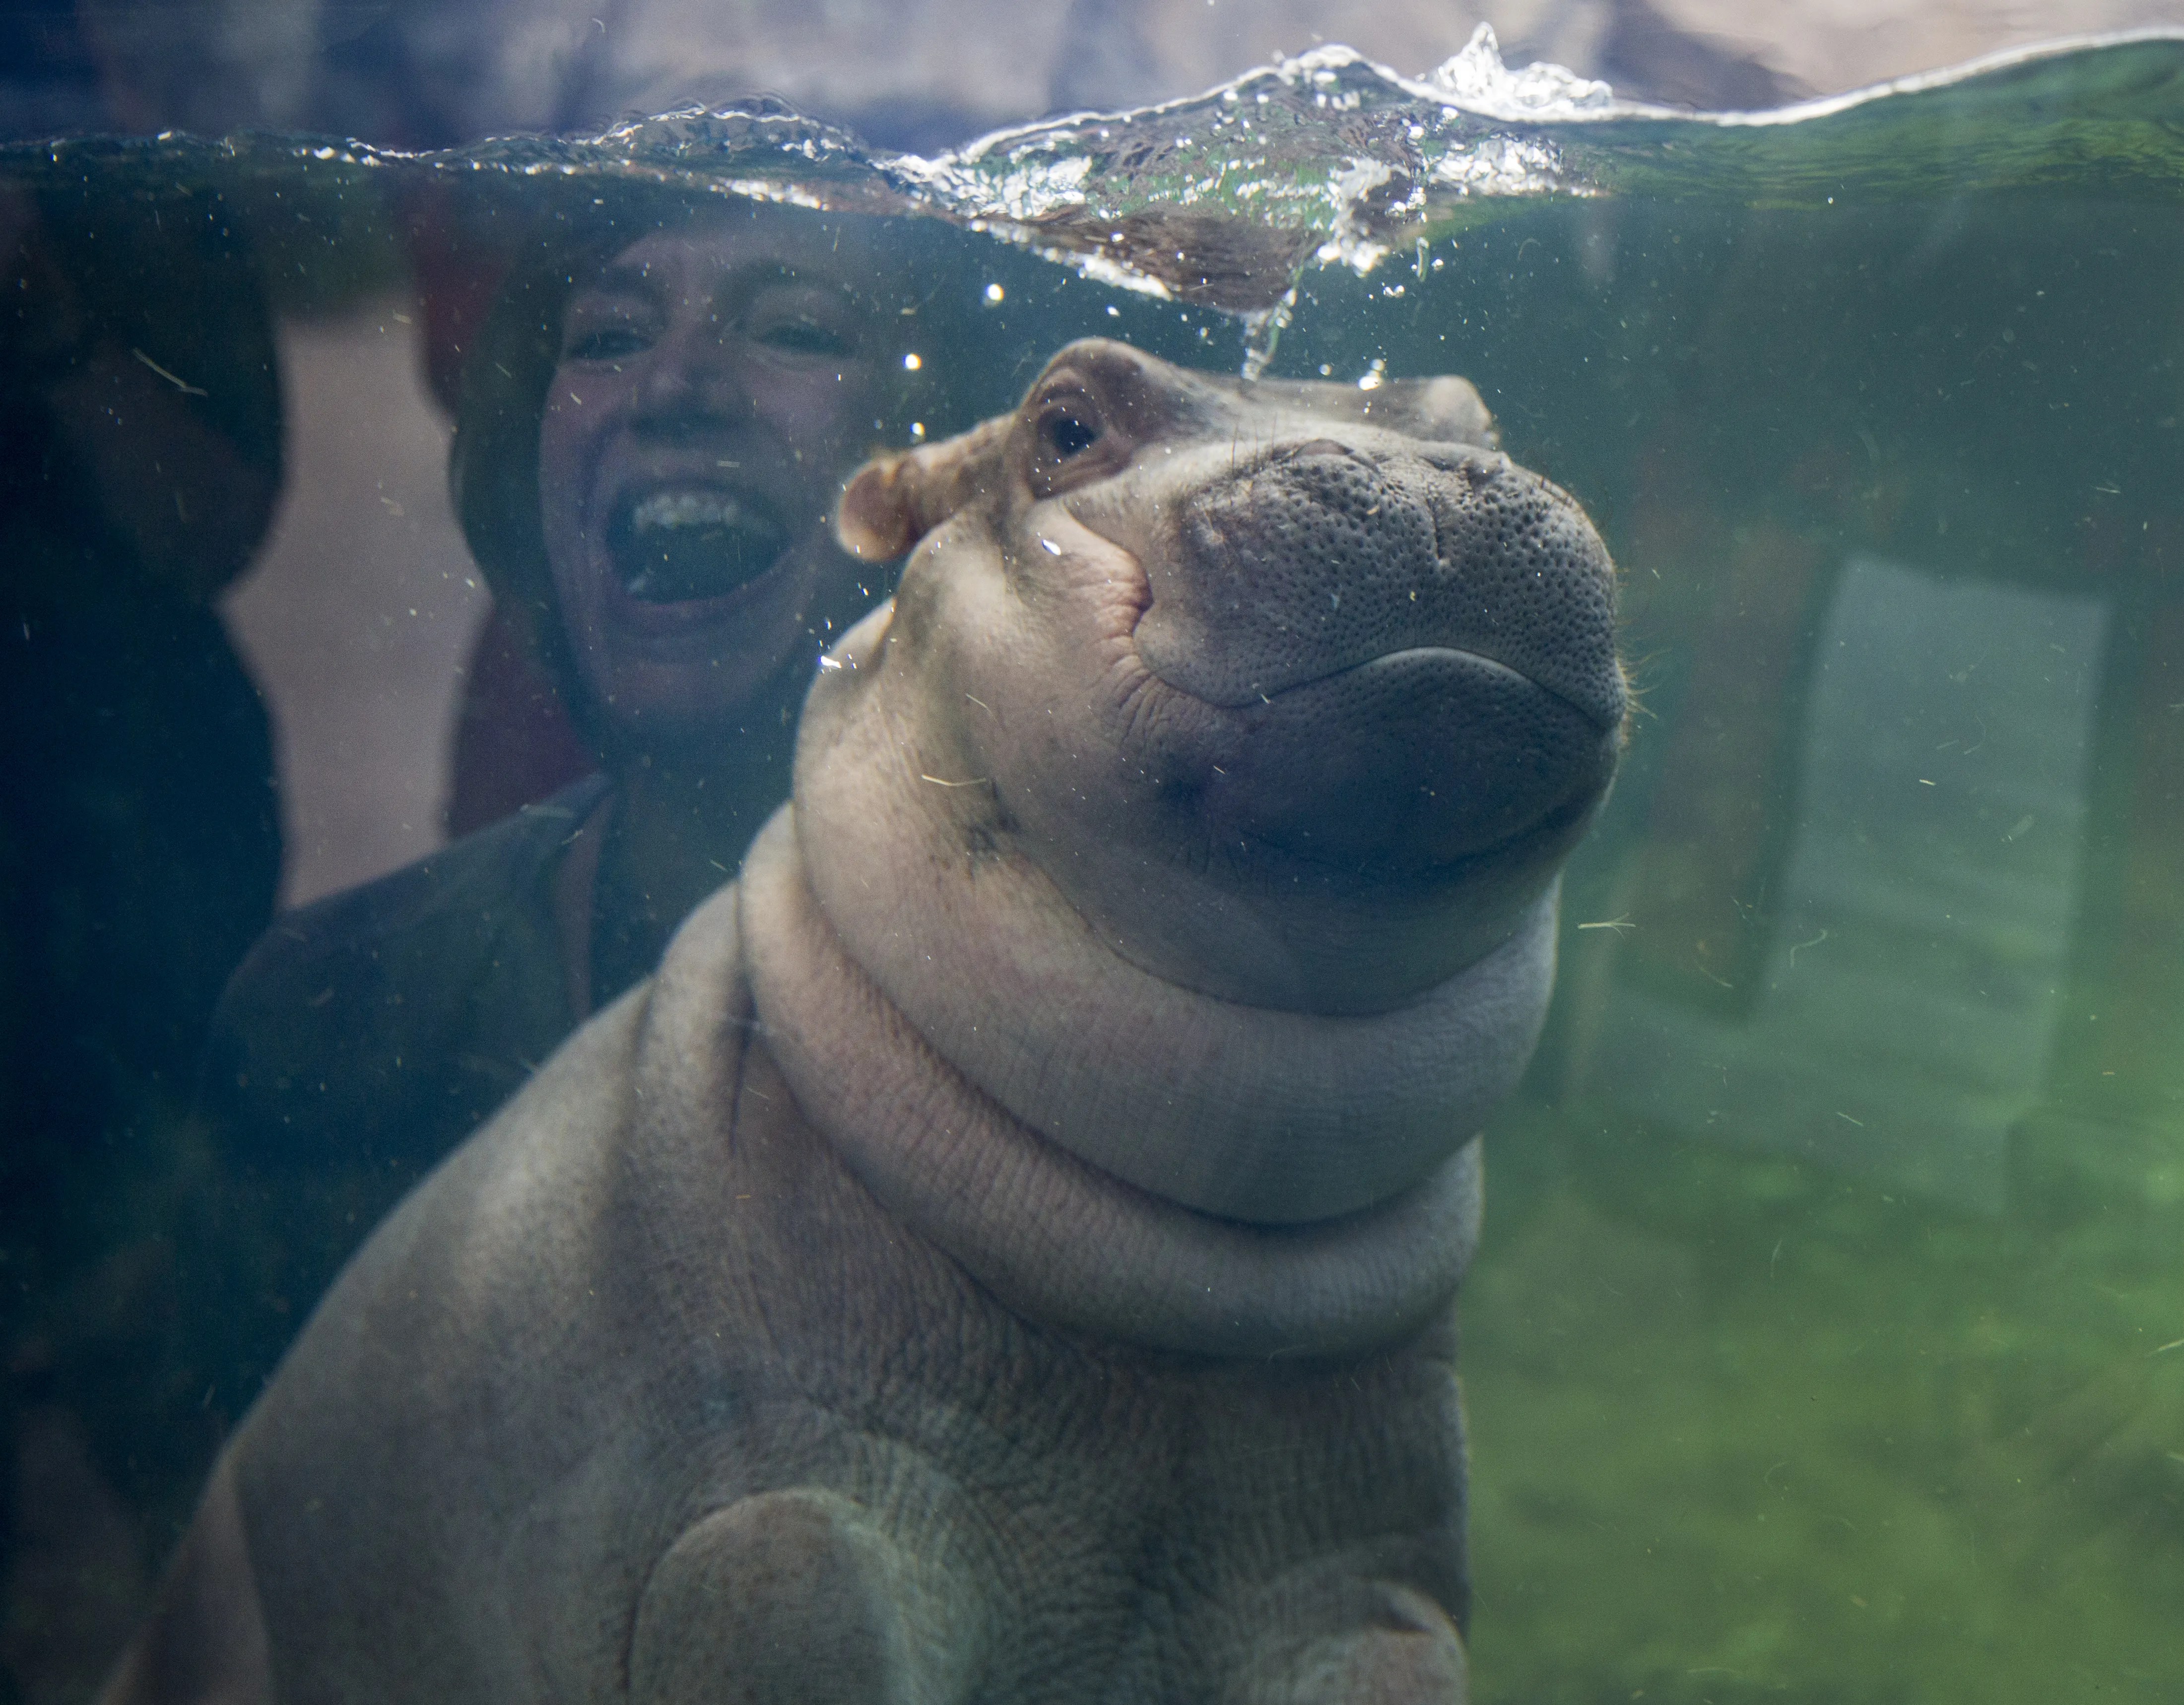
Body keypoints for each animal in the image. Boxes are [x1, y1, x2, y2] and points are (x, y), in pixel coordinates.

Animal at [105, 339, 1624, 1704]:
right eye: (1065, 421)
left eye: (1478, 416)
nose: (1425, 478)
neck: (1173, 1300)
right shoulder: (769, 1520)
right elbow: (793, 1576)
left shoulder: (1359, 1575)